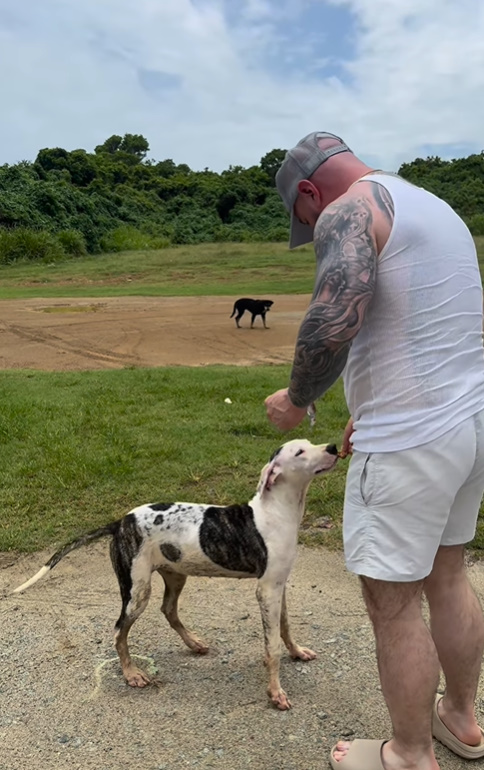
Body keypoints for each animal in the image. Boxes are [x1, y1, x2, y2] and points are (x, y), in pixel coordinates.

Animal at [16, 438, 340, 708]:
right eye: (300, 452)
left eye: (309, 442)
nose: (334, 447)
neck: (276, 511)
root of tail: (119, 522)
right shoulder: (267, 589)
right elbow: (271, 646)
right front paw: (275, 692)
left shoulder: (279, 585)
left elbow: (285, 627)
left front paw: (297, 652)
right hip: (136, 591)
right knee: (120, 630)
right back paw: (132, 674)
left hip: (174, 575)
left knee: (168, 610)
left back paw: (193, 643)